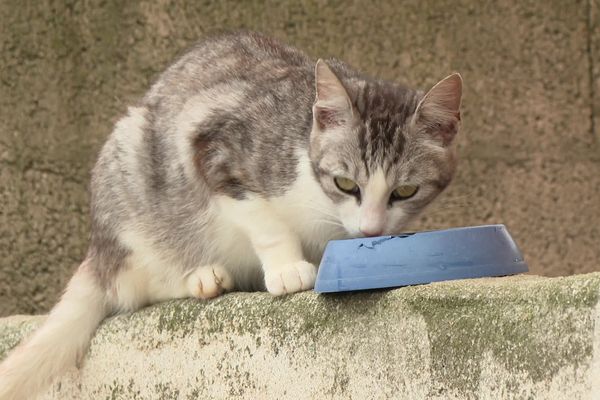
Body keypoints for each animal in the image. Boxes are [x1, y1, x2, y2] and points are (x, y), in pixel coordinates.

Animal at [0, 32, 462, 400]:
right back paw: (202, 277)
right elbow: (263, 218)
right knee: (135, 284)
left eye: (405, 191)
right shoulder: (211, 143)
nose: (370, 228)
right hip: (129, 180)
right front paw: (289, 269)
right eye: (346, 183)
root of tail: (98, 250)